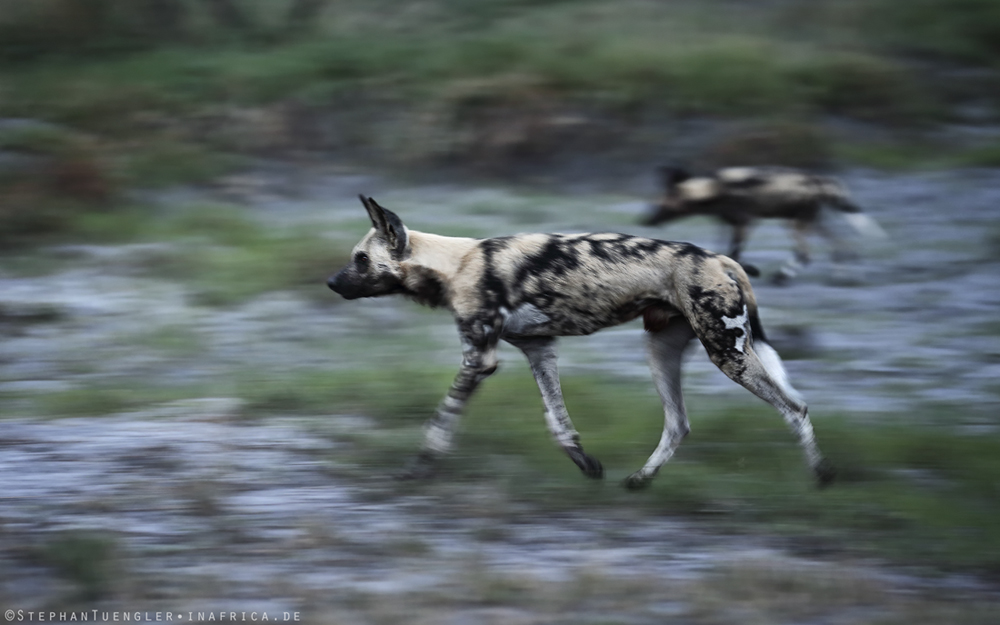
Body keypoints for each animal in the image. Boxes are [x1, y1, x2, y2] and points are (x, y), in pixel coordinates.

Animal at [328, 195, 836, 488]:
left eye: (360, 259)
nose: (331, 282)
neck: (458, 263)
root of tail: (720, 257)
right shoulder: (539, 349)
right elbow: (558, 421)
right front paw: (586, 464)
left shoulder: (479, 359)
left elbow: (440, 422)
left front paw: (416, 471)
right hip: (661, 350)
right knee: (678, 423)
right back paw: (640, 479)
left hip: (726, 354)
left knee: (796, 408)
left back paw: (821, 477)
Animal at [640, 166, 884, 282]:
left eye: (663, 205)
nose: (648, 220)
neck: (714, 189)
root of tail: (818, 180)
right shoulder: (730, 224)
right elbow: (725, 252)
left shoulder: (744, 223)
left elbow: (734, 253)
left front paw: (751, 270)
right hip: (808, 221)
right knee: (840, 244)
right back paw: (842, 275)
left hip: (796, 223)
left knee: (806, 253)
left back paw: (781, 278)